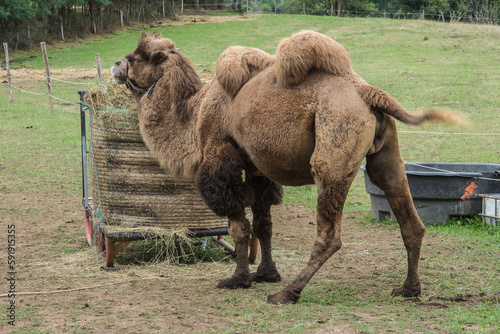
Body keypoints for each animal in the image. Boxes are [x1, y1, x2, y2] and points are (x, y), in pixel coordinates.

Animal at [111, 31, 462, 306]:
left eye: (136, 57)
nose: (115, 65)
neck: (193, 113)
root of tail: (365, 92)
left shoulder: (219, 156)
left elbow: (239, 226)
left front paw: (238, 279)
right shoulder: (255, 167)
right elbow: (264, 223)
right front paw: (266, 274)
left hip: (333, 151)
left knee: (329, 234)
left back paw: (289, 293)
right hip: (386, 152)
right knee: (406, 213)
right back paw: (409, 289)